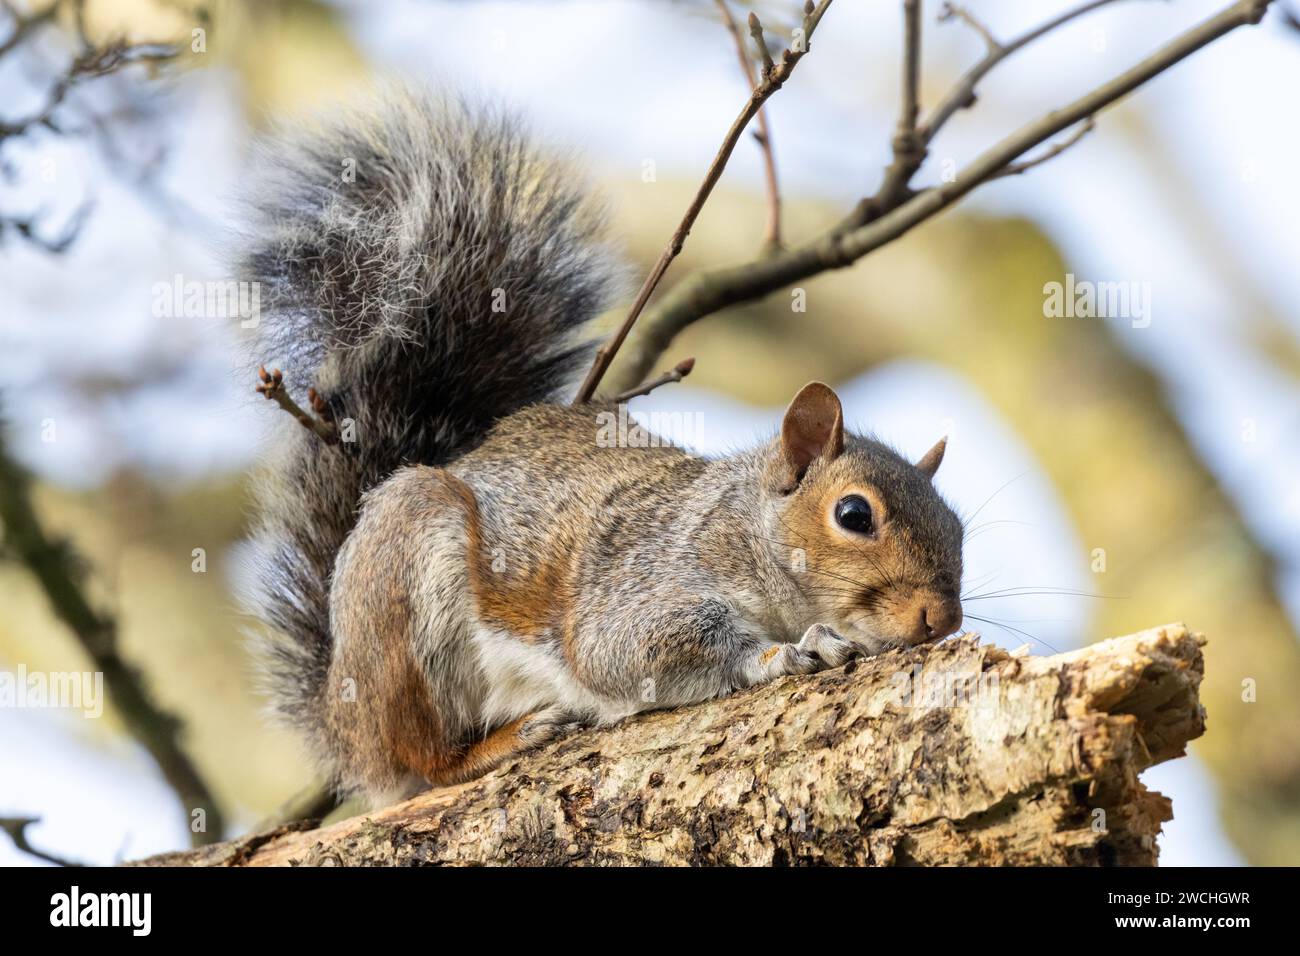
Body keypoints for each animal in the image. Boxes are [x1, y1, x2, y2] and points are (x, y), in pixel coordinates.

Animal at [239, 91, 961, 806]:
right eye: (854, 515)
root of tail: (342, 722)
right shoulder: (644, 579)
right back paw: (504, 740)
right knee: (423, 757)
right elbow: (626, 650)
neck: (741, 530)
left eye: (957, 527)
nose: (943, 619)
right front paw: (788, 651)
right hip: (405, 592)